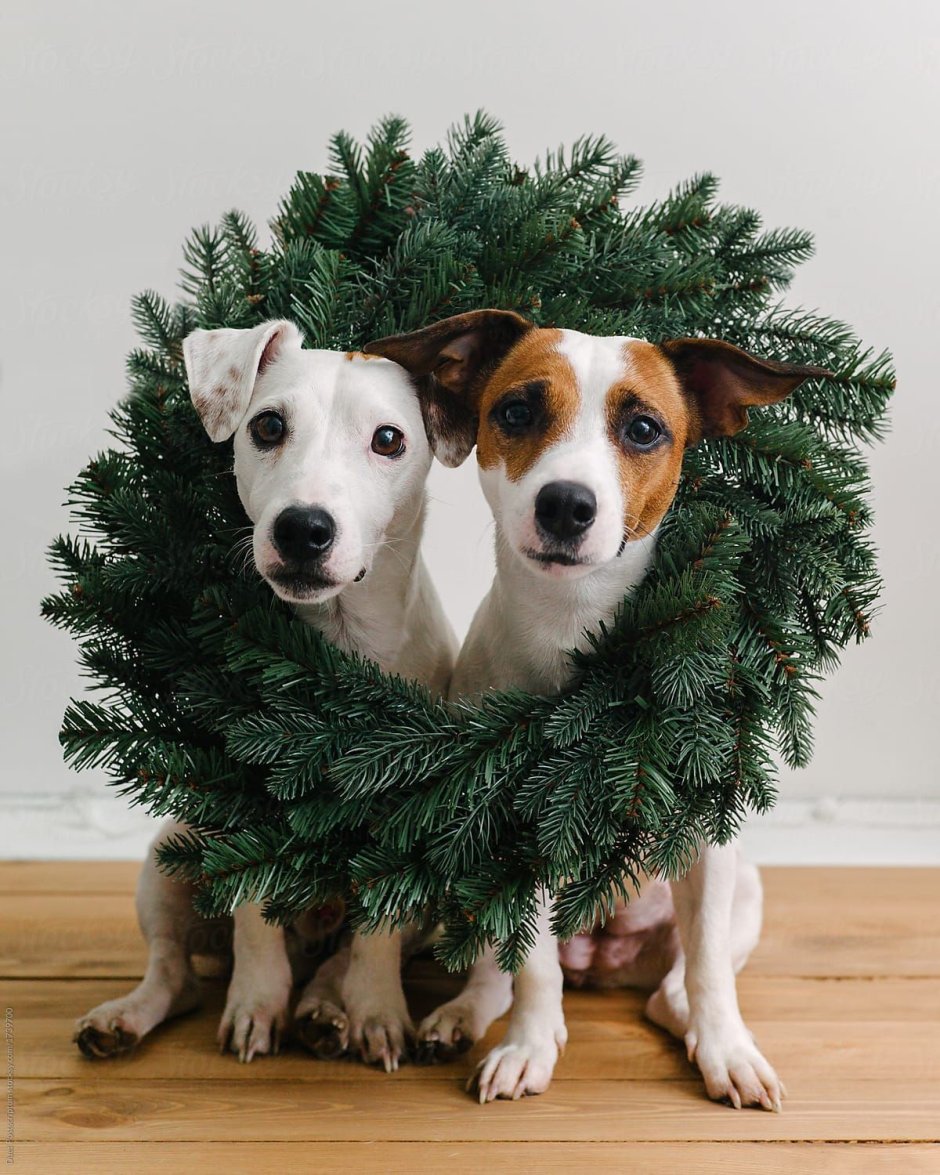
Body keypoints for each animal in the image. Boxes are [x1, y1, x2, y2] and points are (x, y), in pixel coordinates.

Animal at [73, 321, 455, 1076]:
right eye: (268, 425)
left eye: (389, 439)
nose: (303, 528)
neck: (332, 655)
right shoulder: (240, 793)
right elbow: (251, 908)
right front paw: (256, 1003)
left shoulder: (404, 816)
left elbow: (378, 931)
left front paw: (377, 1012)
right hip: (172, 856)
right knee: (176, 973)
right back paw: (128, 1018)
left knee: (338, 955)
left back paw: (326, 1009)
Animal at [364, 307, 827, 1104]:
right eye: (516, 412)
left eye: (643, 429)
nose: (566, 503)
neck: (573, 627)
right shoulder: (510, 836)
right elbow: (531, 969)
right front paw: (527, 1045)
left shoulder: (707, 844)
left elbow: (708, 971)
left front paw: (729, 1051)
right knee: (501, 969)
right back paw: (467, 1015)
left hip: (742, 893)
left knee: (675, 987)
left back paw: (692, 1022)